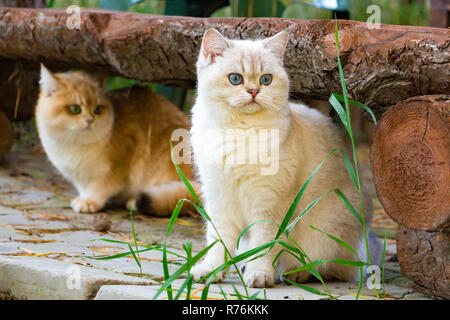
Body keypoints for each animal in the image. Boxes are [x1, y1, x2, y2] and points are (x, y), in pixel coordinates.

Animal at [36, 64, 195, 215]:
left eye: (97, 109)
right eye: (74, 108)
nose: (90, 120)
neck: (75, 144)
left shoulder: (116, 168)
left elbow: (100, 188)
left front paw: (89, 202)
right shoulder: (79, 177)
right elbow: (84, 187)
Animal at [188, 27, 382, 288]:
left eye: (266, 80)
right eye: (235, 79)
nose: (253, 91)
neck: (239, 130)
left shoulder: (268, 204)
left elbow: (263, 246)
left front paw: (258, 275)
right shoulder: (219, 198)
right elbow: (218, 242)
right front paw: (211, 271)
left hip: (323, 233)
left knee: (329, 268)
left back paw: (295, 273)